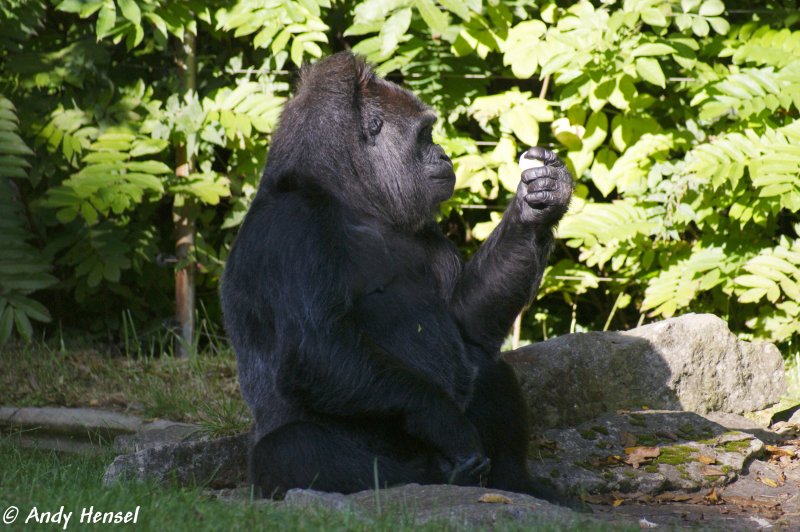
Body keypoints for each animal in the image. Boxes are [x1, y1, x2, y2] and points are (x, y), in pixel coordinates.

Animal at [222, 52, 572, 500]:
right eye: (425, 135)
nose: (443, 154)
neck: (347, 193)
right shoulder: (292, 225)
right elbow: (316, 348)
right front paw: (443, 420)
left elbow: (465, 320)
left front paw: (538, 205)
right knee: (293, 448)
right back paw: (438, 475)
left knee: (484, 365)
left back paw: (513, 481)